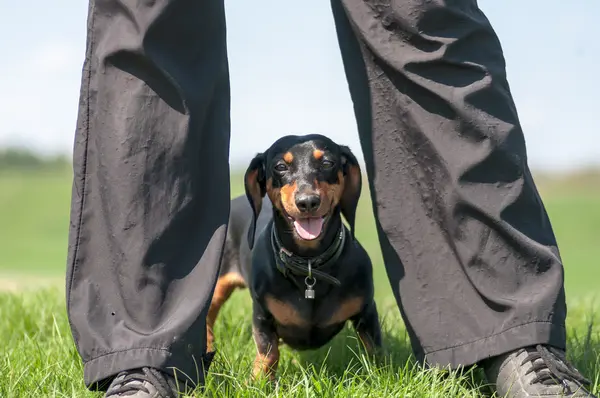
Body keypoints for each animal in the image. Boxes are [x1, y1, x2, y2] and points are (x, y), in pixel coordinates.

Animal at [206, 134, 382, 380]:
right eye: (280, 166)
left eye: (327, 162)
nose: (307, 202)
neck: (309, 263)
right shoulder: (262, 316)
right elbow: (268, 353)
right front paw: (259, 381)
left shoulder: (367, 312)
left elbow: (375, 351)